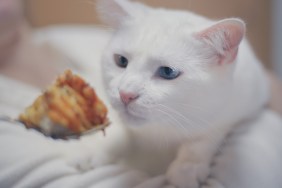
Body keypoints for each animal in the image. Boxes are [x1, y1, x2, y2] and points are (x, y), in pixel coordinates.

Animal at [67, 0, 280, 188]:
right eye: (121, 60)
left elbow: (206, 136)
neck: (161, 129)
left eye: (167, 72)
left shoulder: (244, 102)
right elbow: (117, 129)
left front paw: (188, 167)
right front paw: (94, 150)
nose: (126, 94)